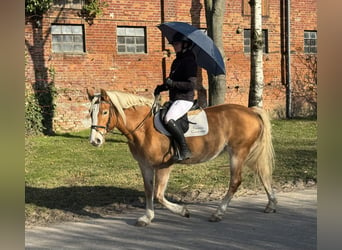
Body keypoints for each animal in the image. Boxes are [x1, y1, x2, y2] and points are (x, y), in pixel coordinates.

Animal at [87, 88, 276, 227]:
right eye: (90, 112)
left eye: (105, 112)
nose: (95, 141)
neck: (145, 128)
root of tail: (251, 112)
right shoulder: (145, 165)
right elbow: (149, 191)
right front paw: (147, 217)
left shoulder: (164, 166)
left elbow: (158, 195)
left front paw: (183, 211)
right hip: (248, 154)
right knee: (263, 173)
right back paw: (271, 204)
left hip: (238, 153)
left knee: (235, 181)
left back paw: (218, 213)